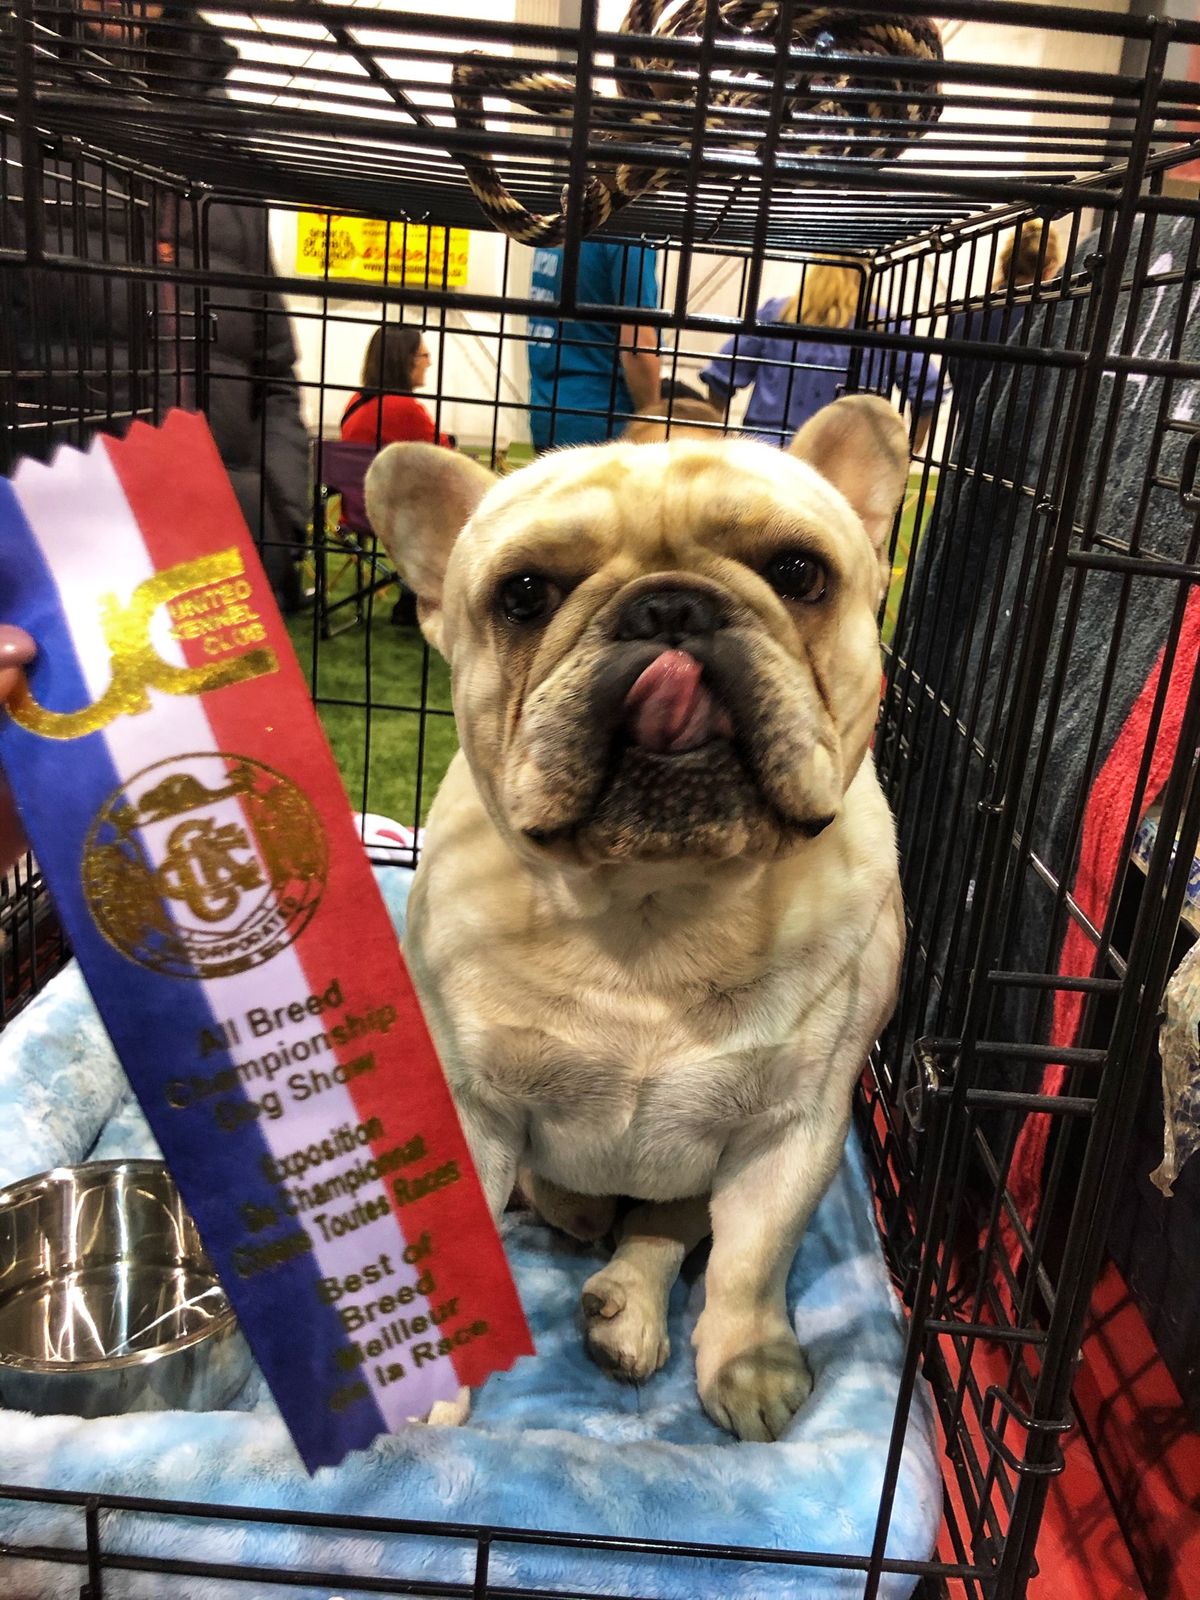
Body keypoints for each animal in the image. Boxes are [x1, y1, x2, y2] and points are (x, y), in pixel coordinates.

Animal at [364, 396, 908, 1442]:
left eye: (799, 573)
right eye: (524, 594)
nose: (669, 606)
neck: (657, 903)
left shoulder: (794, 1130)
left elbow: (751, 1263)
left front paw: (748, 1364)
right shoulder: (471, 1106)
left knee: (667, 1228)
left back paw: (627, 1308)